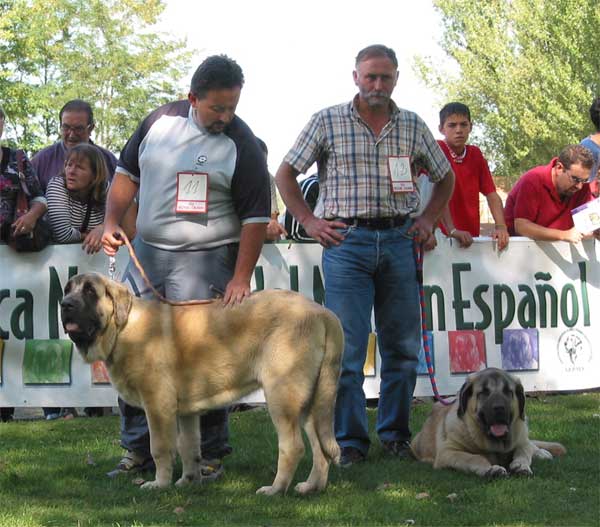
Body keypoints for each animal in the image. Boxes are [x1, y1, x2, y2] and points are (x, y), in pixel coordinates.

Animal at [61, 272, 344, 496]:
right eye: (66, 290)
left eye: (90, 291)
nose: (65, 304)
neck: (122, 329)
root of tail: (322, 312)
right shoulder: (186, 413)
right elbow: (188, 446)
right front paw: (187, 481)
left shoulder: (157, 405)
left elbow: (160, 447)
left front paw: (159, 484)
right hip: (311, 402)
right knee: (321, 448)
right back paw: (311, 487)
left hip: (281, 395)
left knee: (293, 447)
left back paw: (275, 489)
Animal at [410, 368, 564, 478]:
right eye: (484, 392)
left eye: (508, 391)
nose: (499, 408)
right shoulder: (447, 452)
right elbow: (474, 457)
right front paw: (491, 469)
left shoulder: (521, 440)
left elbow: (523, 451)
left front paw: (521, 466)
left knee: (531, 445)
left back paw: (541, 452)